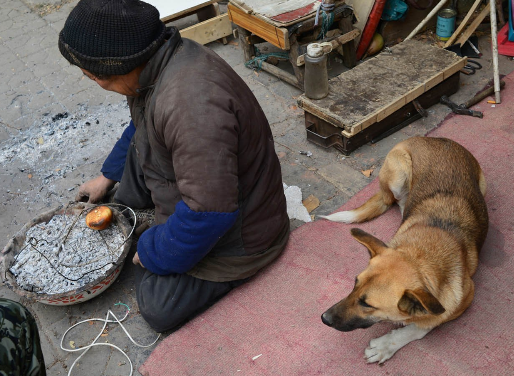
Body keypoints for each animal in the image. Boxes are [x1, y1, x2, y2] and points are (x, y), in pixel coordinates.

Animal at [318, 137, 486, 362]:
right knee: (395, 200)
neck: (420, 254)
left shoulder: (464, 298)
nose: (324, 318)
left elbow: (422, 325)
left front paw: (385, 345)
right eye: (355, 283)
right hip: (398, 174)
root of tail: (436, 138)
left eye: (368, 305)